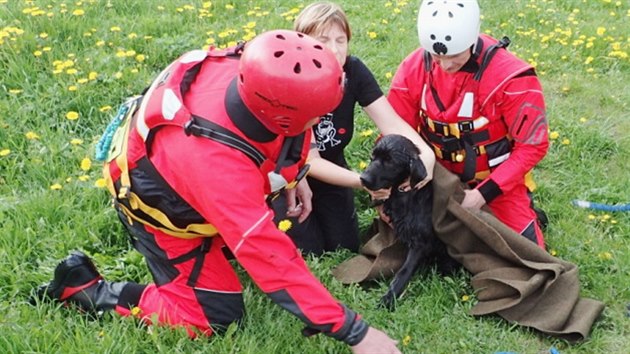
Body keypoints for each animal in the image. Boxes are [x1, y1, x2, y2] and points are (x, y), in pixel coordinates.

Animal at [360, 134, 460, 308]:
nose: (362, 178)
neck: (406, 195)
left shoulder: (419, 242)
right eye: (373, 156)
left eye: (390, 161)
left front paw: (389, 298)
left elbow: (404, 271)